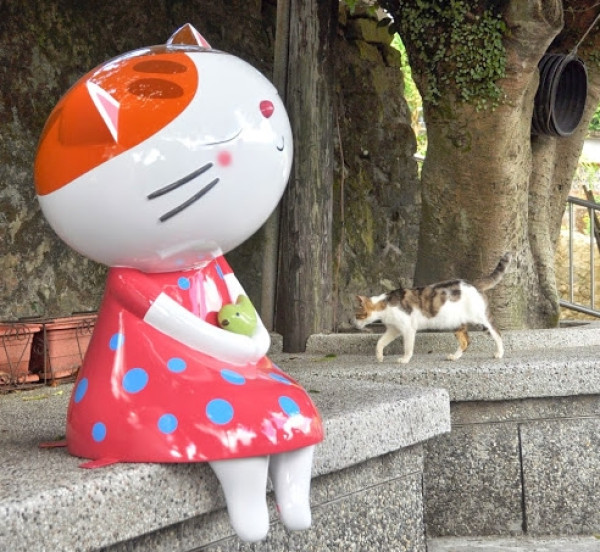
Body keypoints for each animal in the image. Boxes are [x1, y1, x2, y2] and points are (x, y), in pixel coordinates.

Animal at [354, 253, 512, 364]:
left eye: (357, 315)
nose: (353, 324)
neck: (385, 304)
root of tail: (473, 283)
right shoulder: (394, 329)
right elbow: (380, 342)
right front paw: (379, 357)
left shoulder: (408, 329)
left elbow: (408, 347)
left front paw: (405, 359)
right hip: (456, 324)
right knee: (466, 341)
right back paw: (454, 357)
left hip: (481, 320)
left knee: (497, 333)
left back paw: (499, 353)